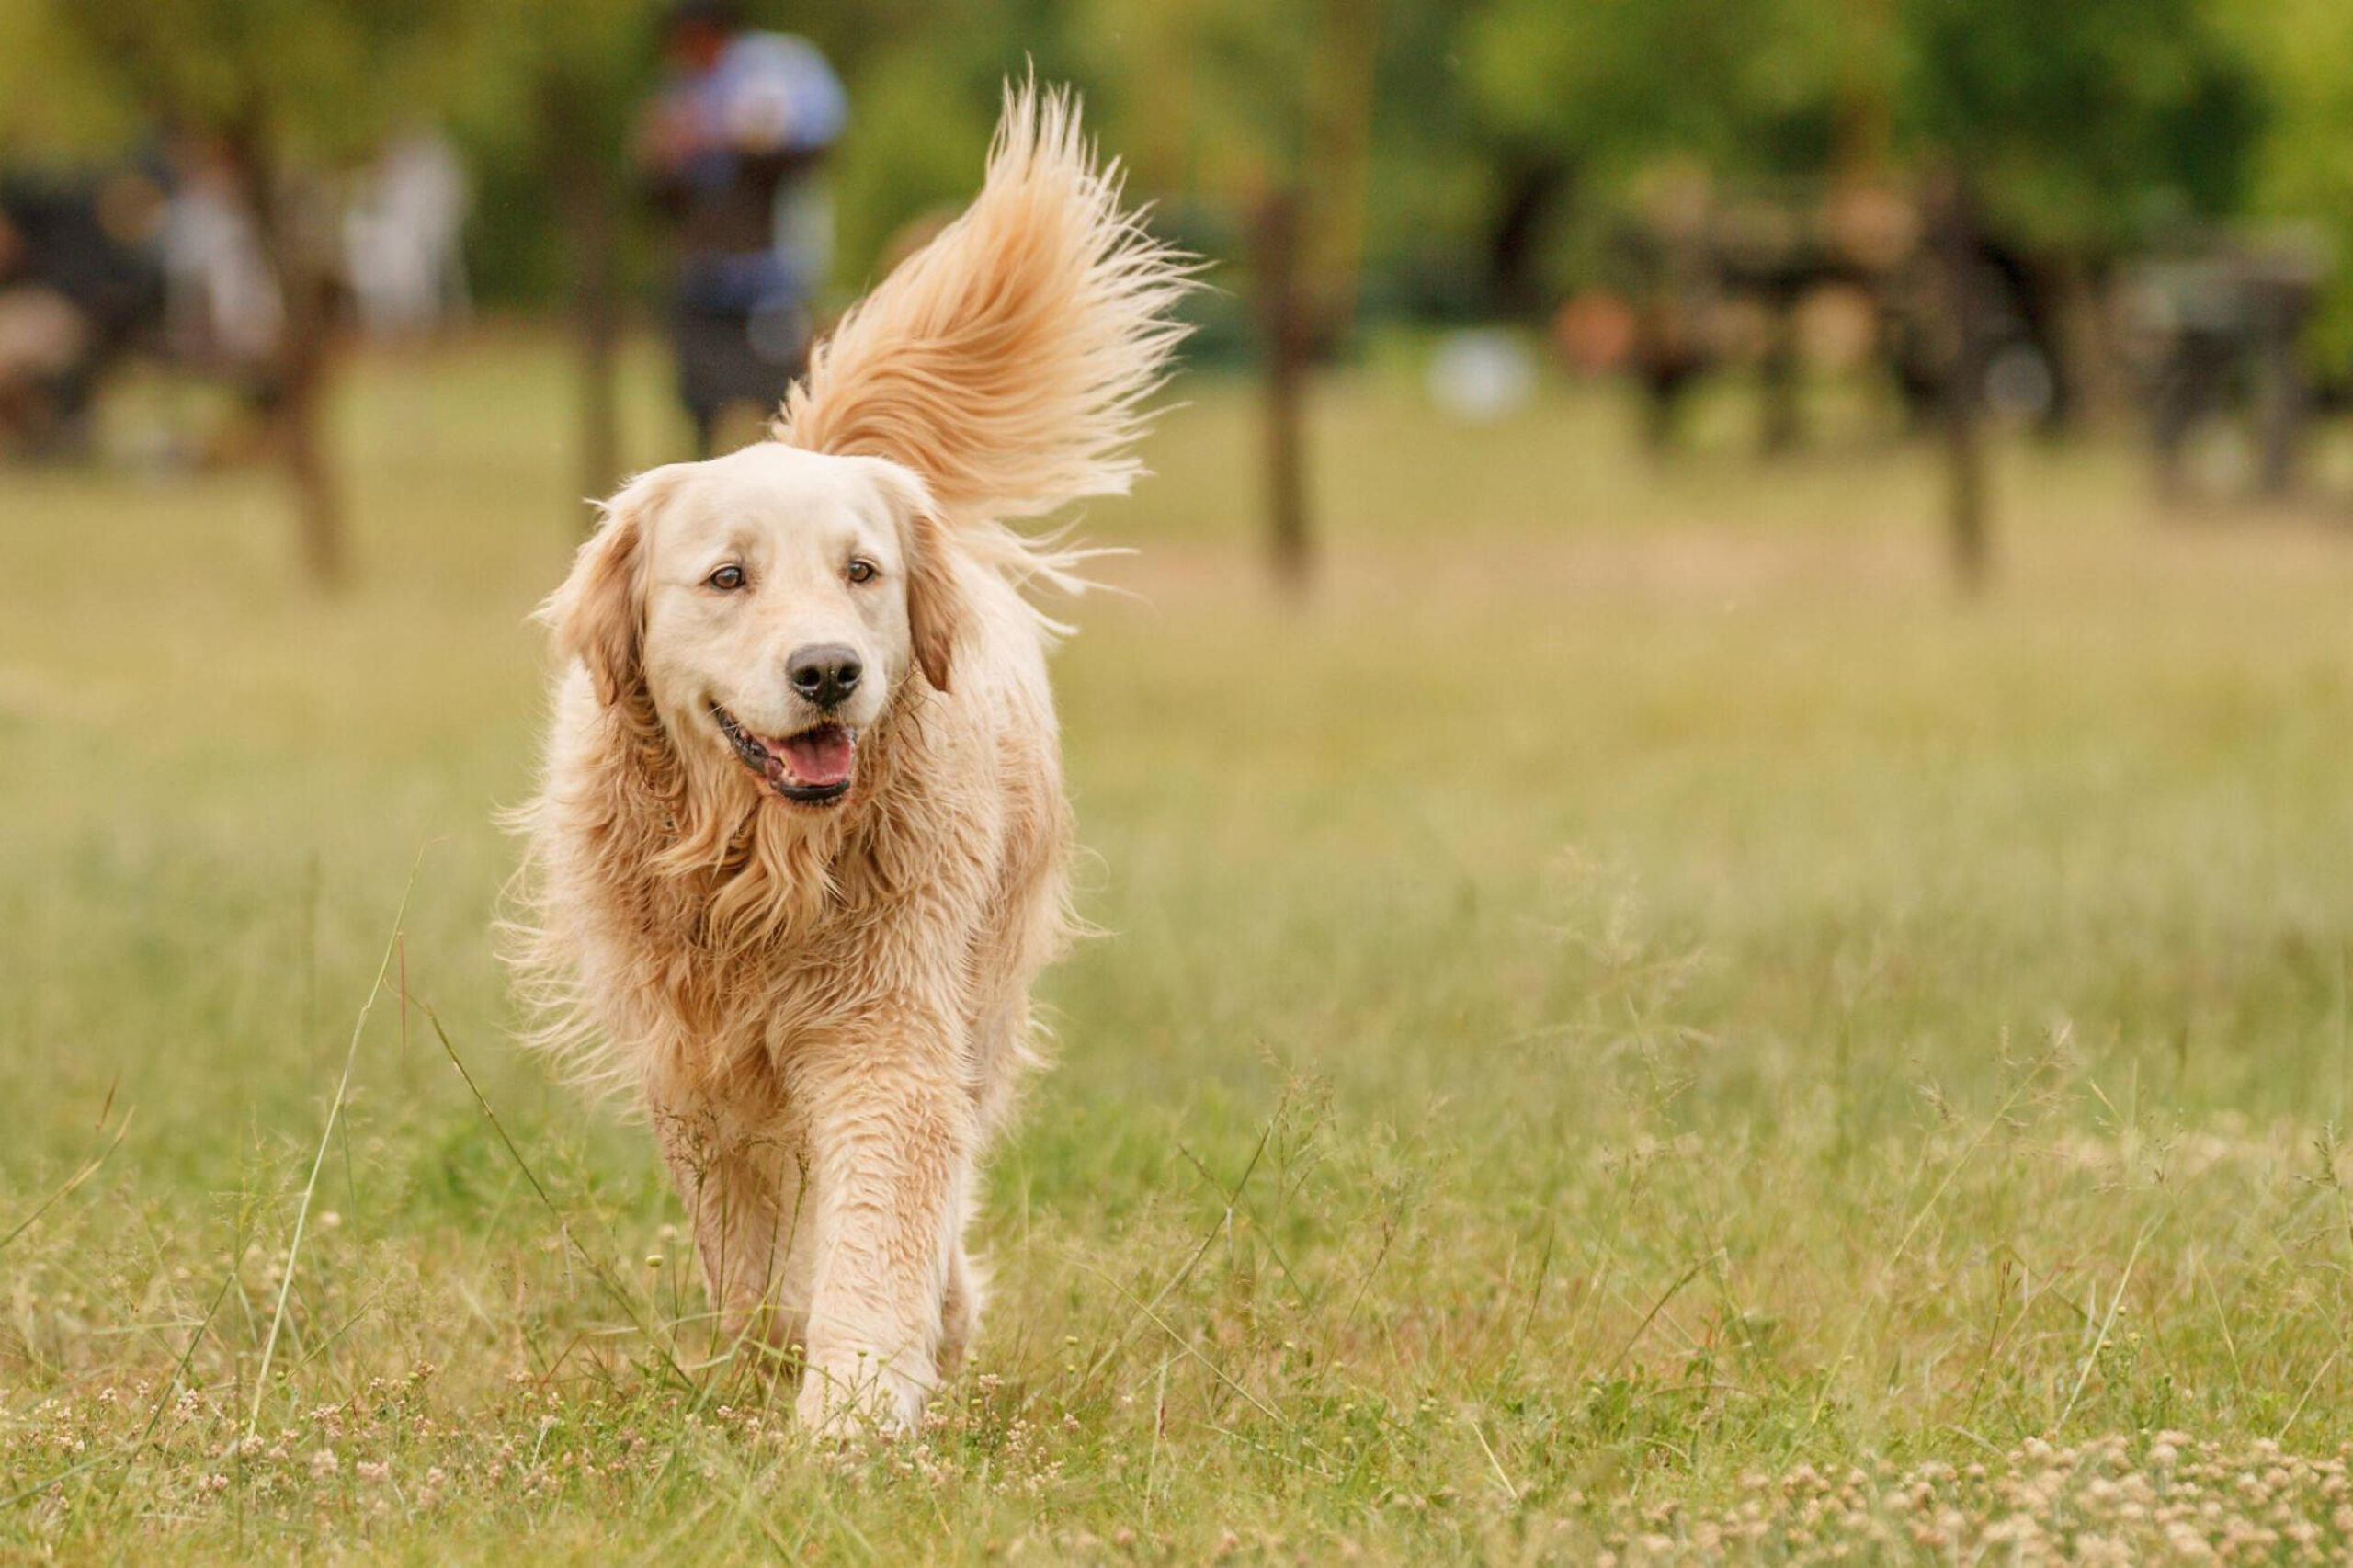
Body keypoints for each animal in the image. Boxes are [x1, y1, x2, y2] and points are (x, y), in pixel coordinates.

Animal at [506, 88, 1186, 1431]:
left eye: (862, 571)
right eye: (728, 576)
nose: (828, 670)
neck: (760, 860)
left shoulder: (885, 1027)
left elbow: (878, 1219)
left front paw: (855, 1412)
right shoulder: (696, 1059)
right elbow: (754, 1255)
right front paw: (790, 1364)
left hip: (984, 983)